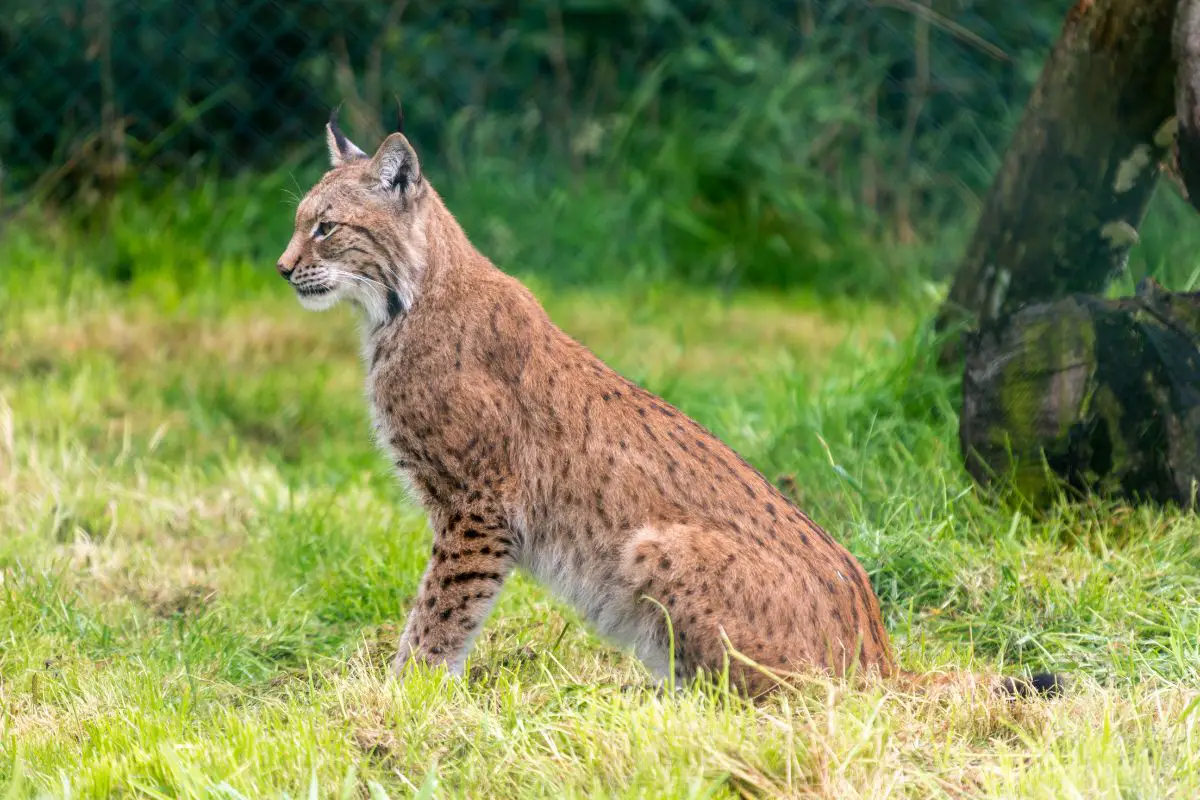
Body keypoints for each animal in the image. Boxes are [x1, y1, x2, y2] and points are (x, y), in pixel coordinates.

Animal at [274, 109, 1060, 695]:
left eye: (326, 227)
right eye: (298, 221)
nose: (281, 270)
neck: (396, 309)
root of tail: (882, 656)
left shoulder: (478, 503)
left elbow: (440, 610)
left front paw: (400, 697)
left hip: (652, 544)